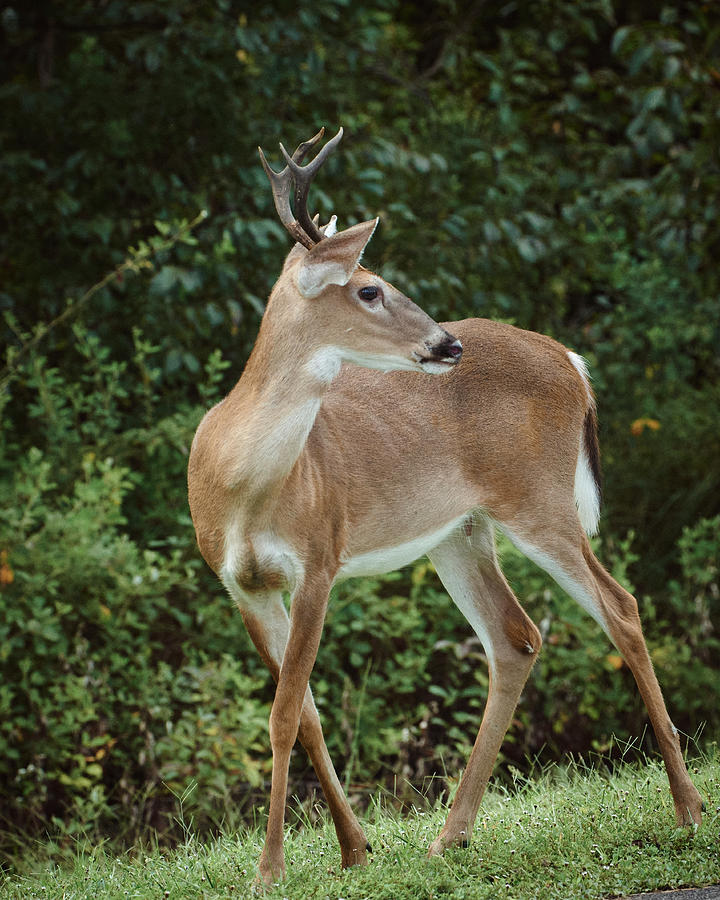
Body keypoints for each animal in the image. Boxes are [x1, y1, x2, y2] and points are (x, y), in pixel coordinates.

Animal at [186, 126, 704, 884]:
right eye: (370, 288)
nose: (445, 343)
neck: (242, 483)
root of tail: (573, 362)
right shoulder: (241, 583)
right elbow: (303, 712)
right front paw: (353, 849)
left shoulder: (319, 560)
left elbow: (282, 716)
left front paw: (270, 867)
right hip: (459, 531)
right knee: (517, 636)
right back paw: (449, 836)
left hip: (538, 501)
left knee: (620, 606)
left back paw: (688, 808)